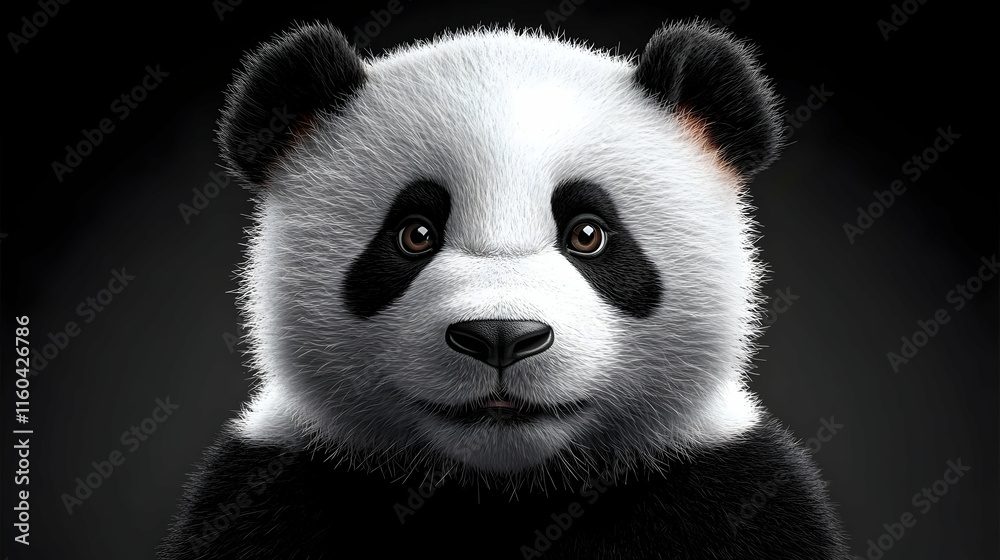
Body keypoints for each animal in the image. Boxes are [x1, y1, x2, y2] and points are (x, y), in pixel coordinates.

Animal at [158, 20, 850, 559]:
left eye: (589, 233)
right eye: (414, 234)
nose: (499, 335)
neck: (505, 490)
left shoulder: (729, 486)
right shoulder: (280, 485)